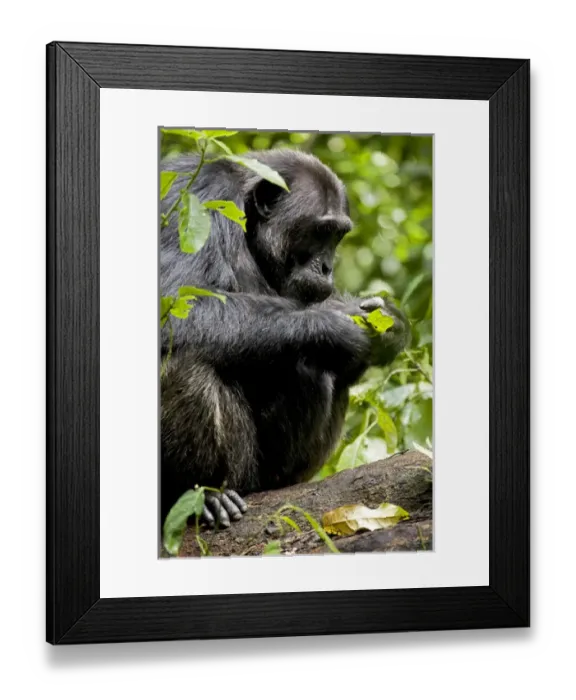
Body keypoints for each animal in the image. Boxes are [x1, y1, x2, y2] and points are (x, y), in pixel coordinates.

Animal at [160, 149, 410, 528]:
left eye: (337, 236)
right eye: (321, 231)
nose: (327, 267)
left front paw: (388, 324)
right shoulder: (191, 196)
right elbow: (177, 303)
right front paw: (334, 326)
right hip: (241, 471)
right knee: (185, 361)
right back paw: (205, 495)